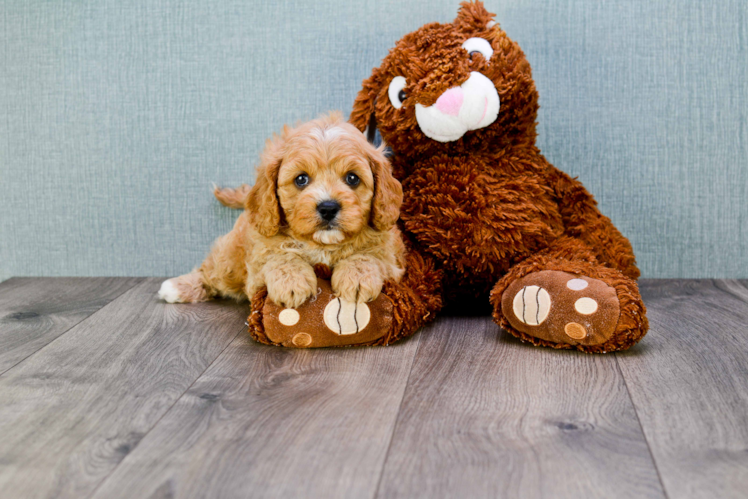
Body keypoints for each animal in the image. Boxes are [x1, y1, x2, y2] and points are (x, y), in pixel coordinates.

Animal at [157, 113, 404, 308]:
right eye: (301, 179)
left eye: (352, 178)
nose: (328, 207)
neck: (322, 244)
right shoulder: (259, 259)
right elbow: (279, 256)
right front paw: (291, 282)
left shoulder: (392, 260)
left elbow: (367, 255)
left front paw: (357, 277)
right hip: (230, 261)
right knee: (211, 272)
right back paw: (177, 286)